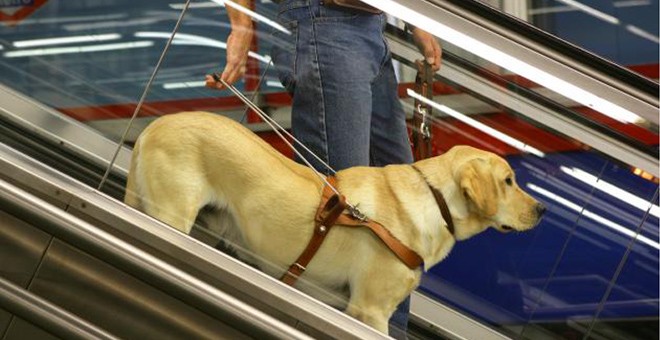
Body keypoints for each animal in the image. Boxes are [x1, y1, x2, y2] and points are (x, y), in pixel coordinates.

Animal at [122, 111, 540, 332]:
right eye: (508, 181)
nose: (542, 210)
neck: (435, 202)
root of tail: (153, 126)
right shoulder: (370, 310)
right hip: (172, 215)